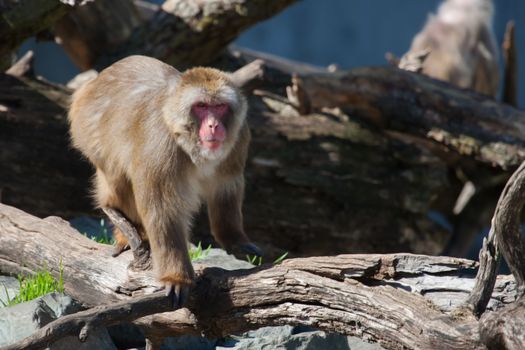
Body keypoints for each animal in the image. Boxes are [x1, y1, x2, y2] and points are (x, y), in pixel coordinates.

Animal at [68, 55, 260, 306]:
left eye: (220, 107)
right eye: (201, 106)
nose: (213, 125)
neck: (184, 138)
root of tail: (93, 83)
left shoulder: (238, 137)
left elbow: (227, 186)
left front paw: (233, 238)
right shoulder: (161, 145)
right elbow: (162, 208)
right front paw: (176, 277)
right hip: (88, 132)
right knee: (118, 177)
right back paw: (120, 219)